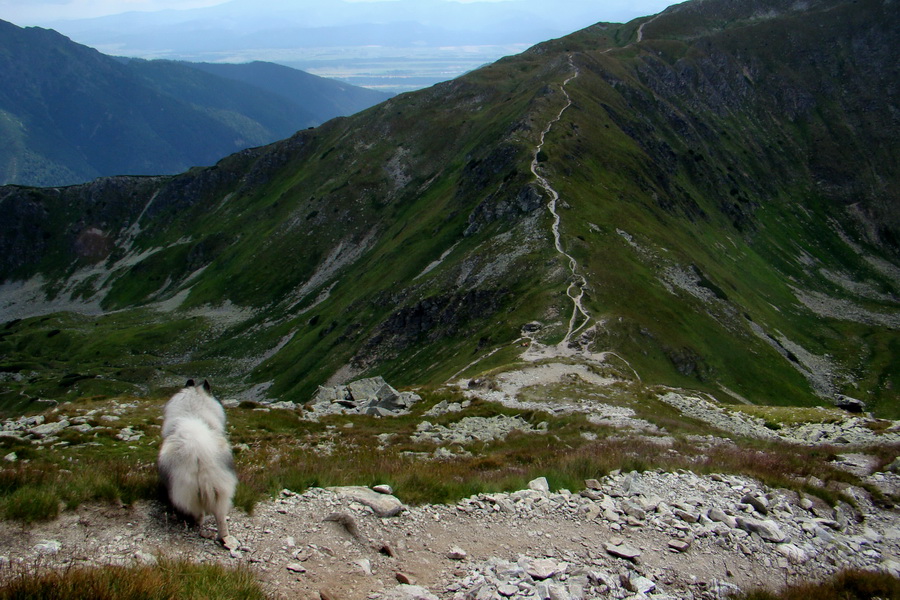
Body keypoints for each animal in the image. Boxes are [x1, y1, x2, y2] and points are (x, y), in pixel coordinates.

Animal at [158, 380, 236, 544]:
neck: (192, 413)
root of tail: (199, 451)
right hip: (221, 487)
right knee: (220, 516)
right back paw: (223, 536)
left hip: (185, 488)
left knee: (197, 510)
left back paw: (196, 522)